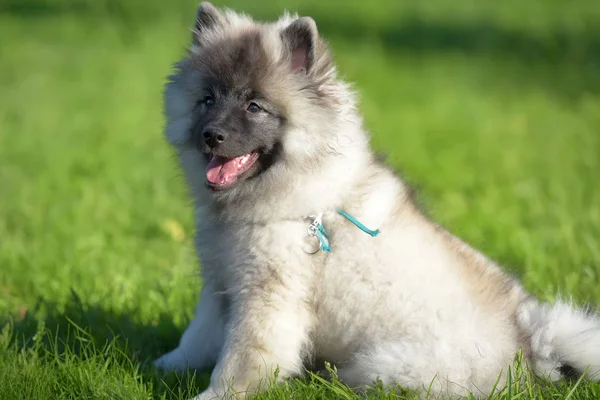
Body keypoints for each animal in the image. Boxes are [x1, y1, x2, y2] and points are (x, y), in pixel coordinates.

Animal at [155, 2, 600, 396]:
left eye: (253, 106)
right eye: (207, 100)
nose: (211, 134)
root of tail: (526, 347)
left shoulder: (265, 300)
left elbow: (240, 360)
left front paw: (214, 394)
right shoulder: (220, 286)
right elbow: (198, 338)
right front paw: (166, 365)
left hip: (382, 366)